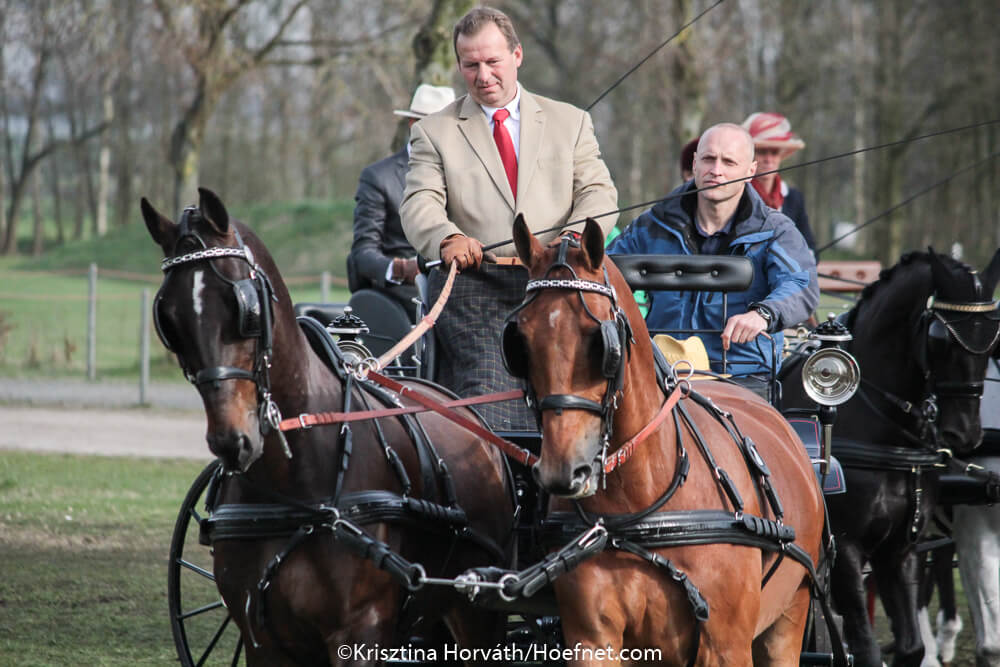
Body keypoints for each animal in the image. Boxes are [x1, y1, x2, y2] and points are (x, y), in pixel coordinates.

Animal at [143, 188, 514, 666]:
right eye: (169, 321)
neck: (295, 487)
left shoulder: (359, 633)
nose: (232, 439)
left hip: (476, 609)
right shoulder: (261, 639)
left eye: (245, 309)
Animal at [504, 216, 828, 665]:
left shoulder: (726, 644)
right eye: (519, 343)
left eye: (599, 342)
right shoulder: (592, 640)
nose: (562, 470)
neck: (641, 504)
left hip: (788, 618)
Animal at [782, 248, 1000, 667]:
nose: (964, 434)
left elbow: (911, 646)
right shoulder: (846, 548)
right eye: (939, 339)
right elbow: (864, 648)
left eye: (993, 336)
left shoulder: (901, 548)